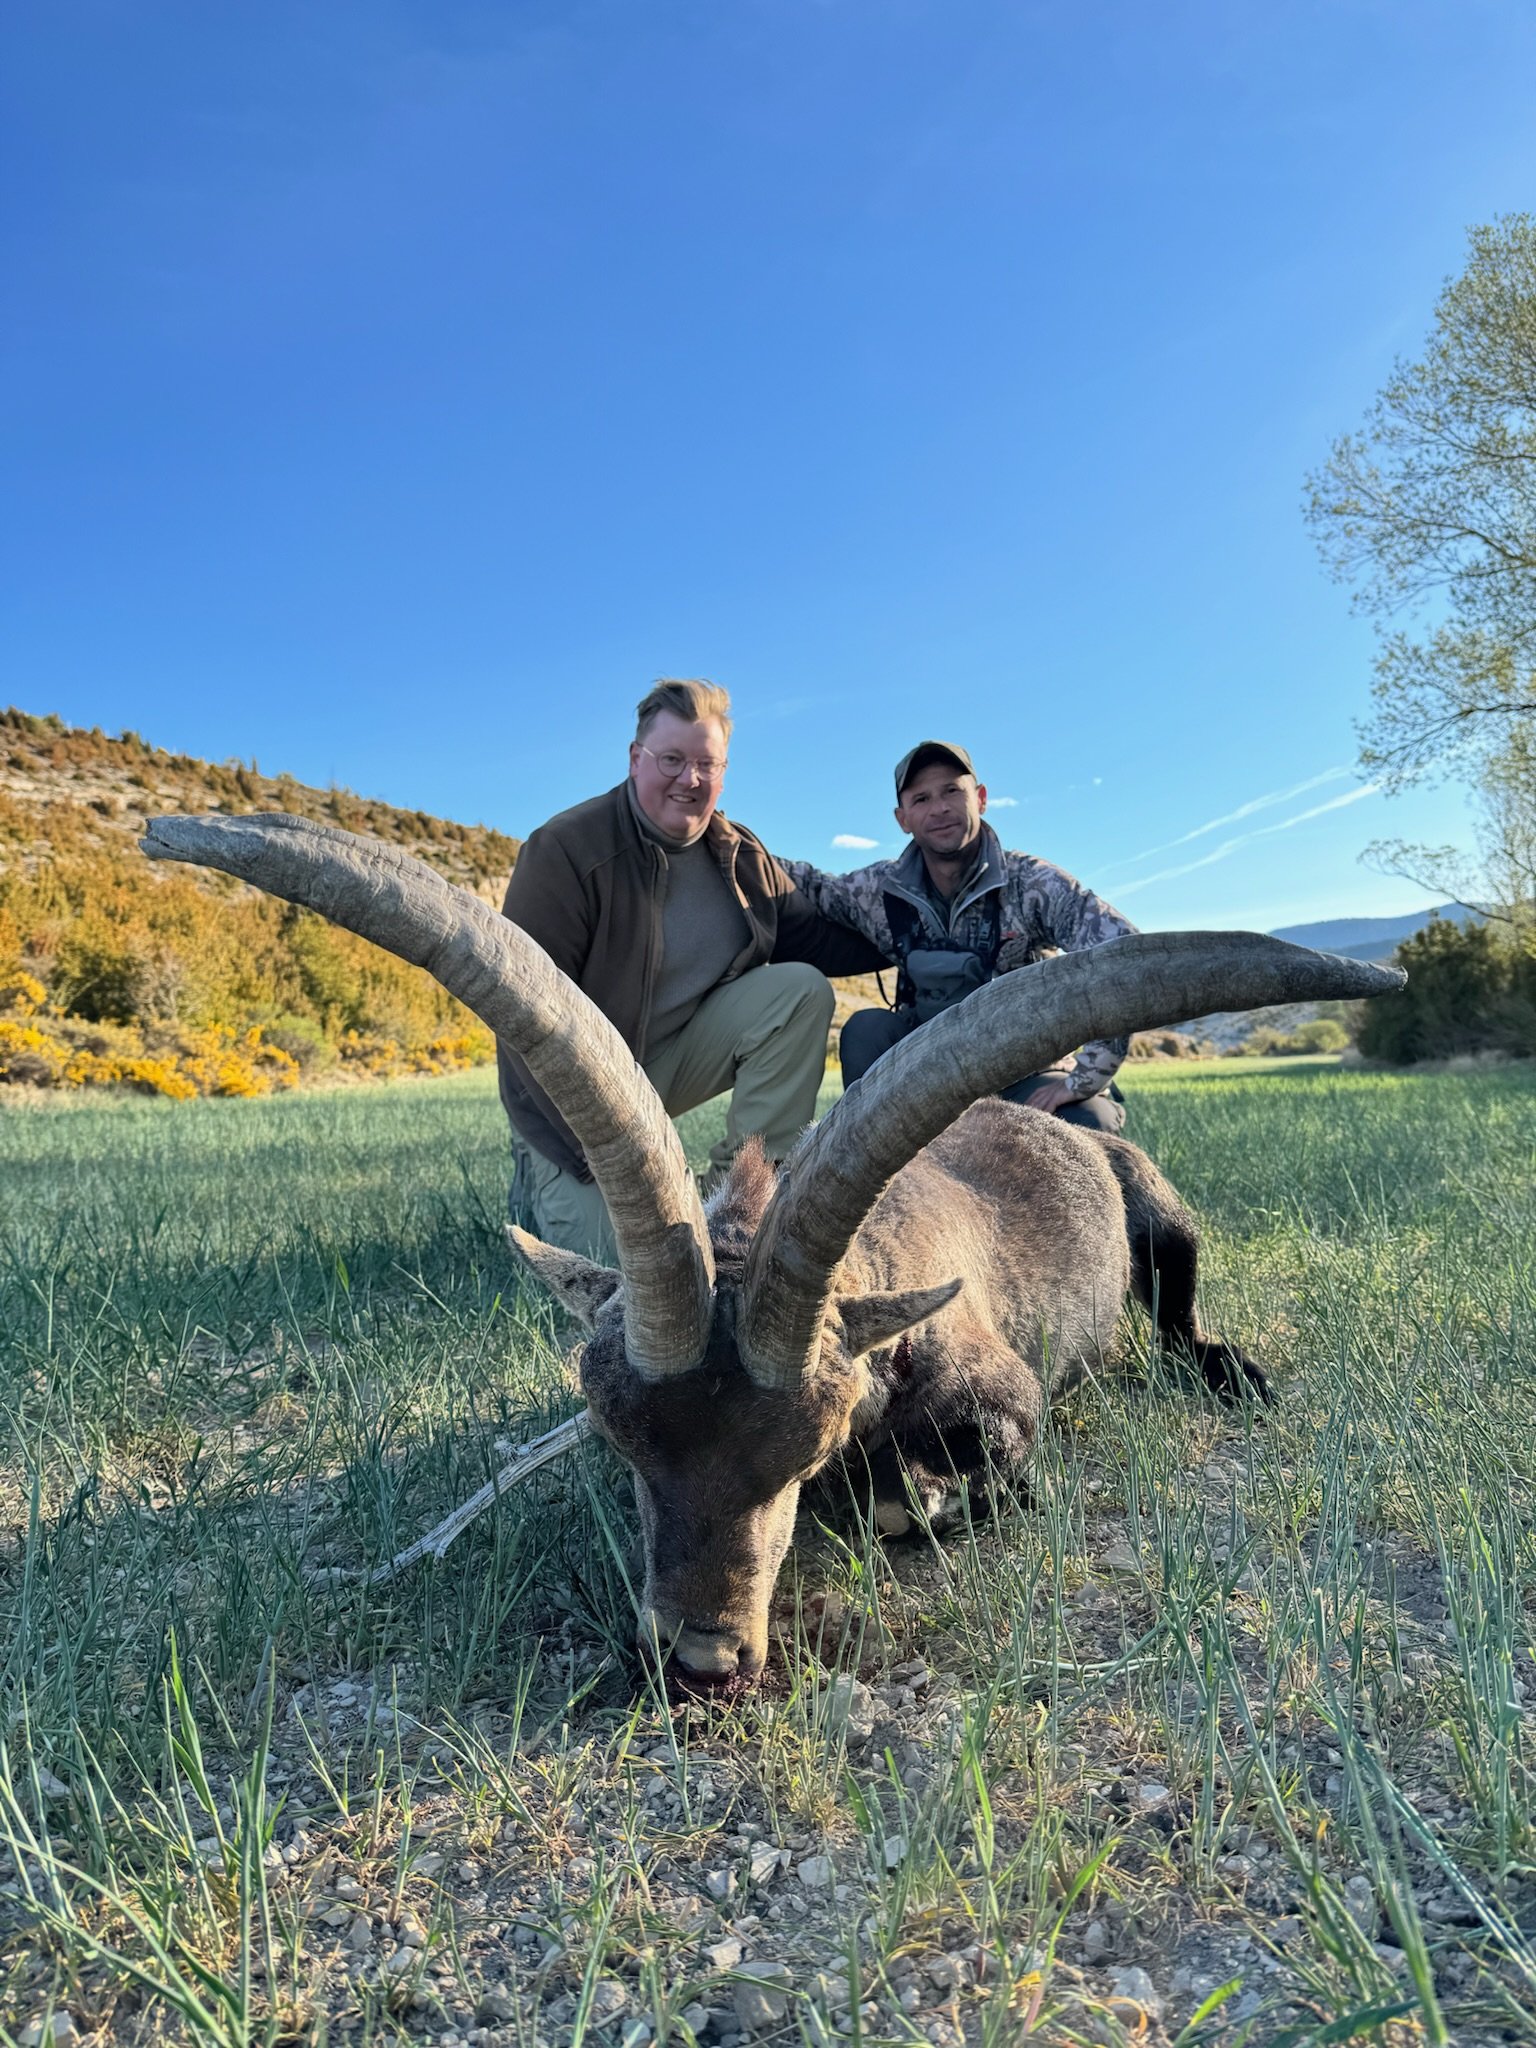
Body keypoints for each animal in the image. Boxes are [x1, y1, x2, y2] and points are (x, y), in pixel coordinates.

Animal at [142, 814, 1404, 1688]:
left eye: (808, 1447)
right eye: (623, 1437)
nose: (701, 1661)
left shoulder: (1003, 1386)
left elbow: (962, 1478)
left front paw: (909, 1496)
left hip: (1162, 1217)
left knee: (1183, 1312)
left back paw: (1237, 1373)